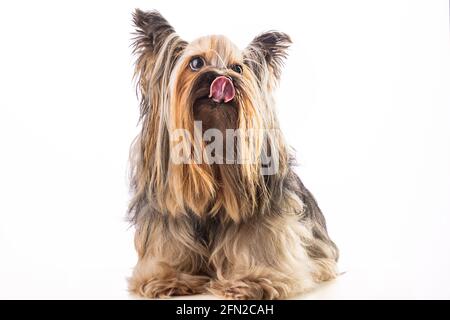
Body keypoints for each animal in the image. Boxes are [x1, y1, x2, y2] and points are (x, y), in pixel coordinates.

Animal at [126, 10, 338, 300]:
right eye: (196, 63)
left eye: (238, 68)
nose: (222, 76)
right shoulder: (169, 212)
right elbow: (169, 244)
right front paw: (169, 277)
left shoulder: (261, 215)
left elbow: (257, 243)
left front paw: (253, 280)